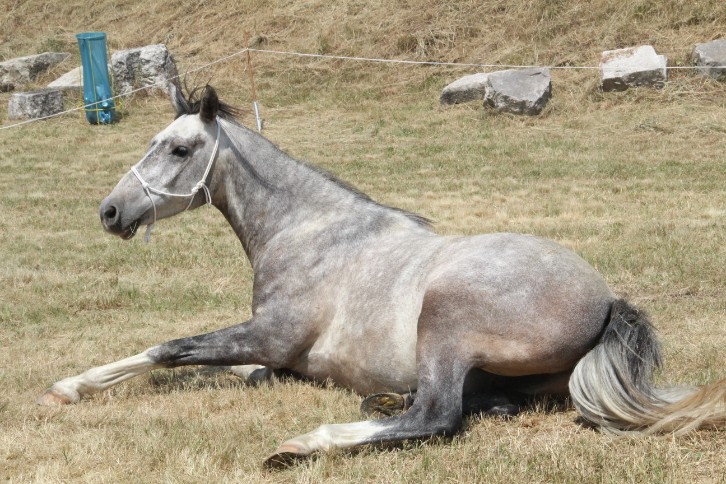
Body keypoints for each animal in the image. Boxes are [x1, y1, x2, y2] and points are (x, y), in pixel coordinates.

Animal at [37, 85, 725, 467]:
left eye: (179, 149)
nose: (111, 212)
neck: (310, 231)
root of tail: (607, 301)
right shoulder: (273, 353)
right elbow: (233, 370)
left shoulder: (267, 335)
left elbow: (170, 348)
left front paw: (69, 387)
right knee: (468, 406)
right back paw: (381, 400)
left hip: (444, 320)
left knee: (437, 418)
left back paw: (304, 444)